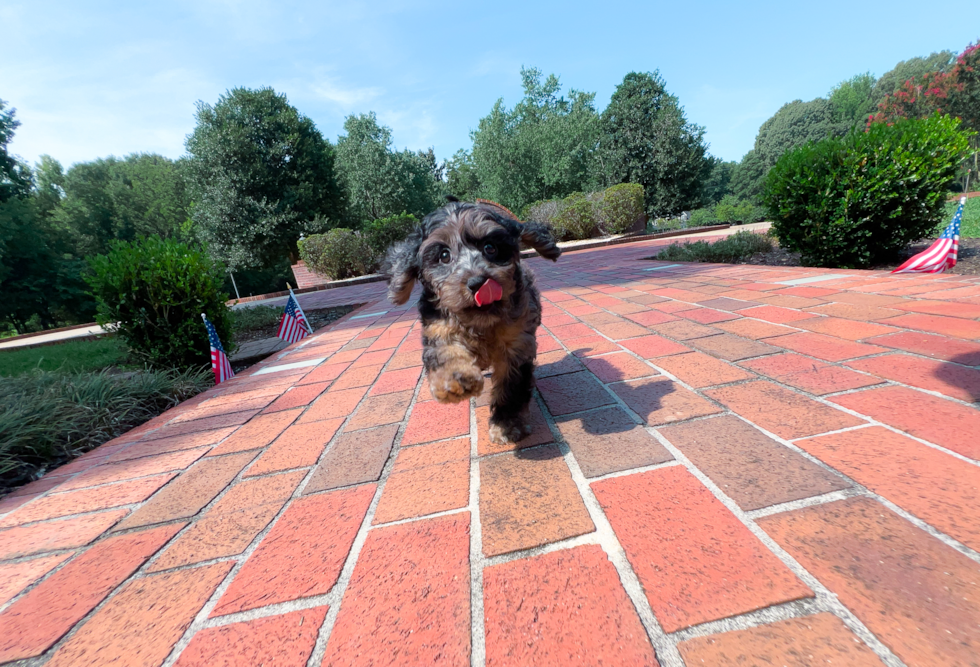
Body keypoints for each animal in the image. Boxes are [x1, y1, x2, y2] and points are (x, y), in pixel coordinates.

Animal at [386, 201, 564, 446]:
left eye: (490, 247)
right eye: (444, 255)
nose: (479, 282)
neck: (481, 322)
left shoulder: (516, 345)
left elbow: (511, 388)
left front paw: (507, 425)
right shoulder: (440, 330)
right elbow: (448, 354)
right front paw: (458, 380)